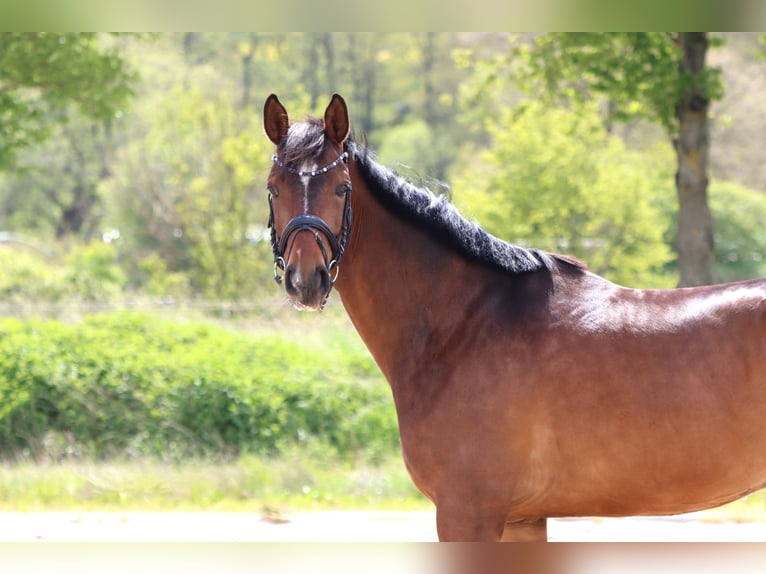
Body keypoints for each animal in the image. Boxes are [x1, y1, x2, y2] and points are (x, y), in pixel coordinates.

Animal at [264, 92, 766, 544]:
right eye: (273, 188)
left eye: (341, 189)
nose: (305, 281)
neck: (464, 324)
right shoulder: (520, 519)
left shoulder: (468, 512)